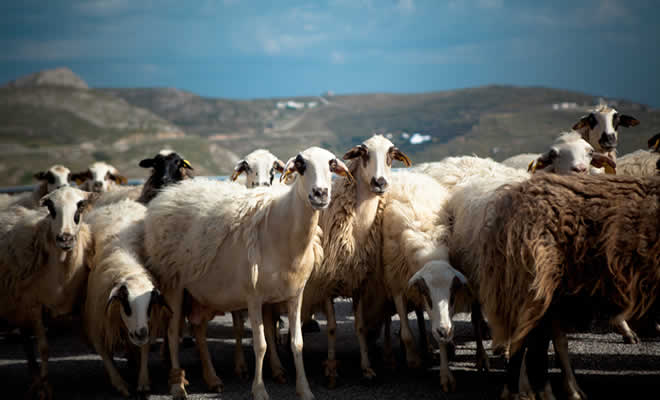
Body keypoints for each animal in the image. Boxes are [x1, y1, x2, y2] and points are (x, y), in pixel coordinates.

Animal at [0, 188, 98, 400]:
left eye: (80, 206)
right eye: (51, 209)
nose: (65, 238)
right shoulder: (34, 305)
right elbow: (43, 348)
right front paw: (44, 387)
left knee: (25, 341)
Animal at [82, 200, 171, 396]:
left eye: (149, 306)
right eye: (126, 304)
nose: (140, 333)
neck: (128, 268)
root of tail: (119, 202)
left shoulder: (148, 323)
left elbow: (144, 349)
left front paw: (143, 381)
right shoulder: (98, 324)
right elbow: (106, 357)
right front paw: (120, 384)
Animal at [142, 147, 354, 400]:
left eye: (331, 164)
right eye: (301, 165)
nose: (320, 193)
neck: (282, 227)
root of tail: (166, 196)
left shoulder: (295, 294)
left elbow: (297, 343)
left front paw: (304, 390)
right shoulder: (254, 297)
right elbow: (260, 344)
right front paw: (259, 390)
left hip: (200, 290)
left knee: (198, 327)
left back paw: (212, 379)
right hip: (172, 282)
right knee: (173, 332)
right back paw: (178, 386)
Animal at [300, 136, 412, 386]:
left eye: (391, 155)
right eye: (364, 153)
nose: (379, 182)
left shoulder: (360, 283)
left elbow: (360, 327)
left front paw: (367, 368)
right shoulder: (326, 284)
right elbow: (332, 329)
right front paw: (332, 369)